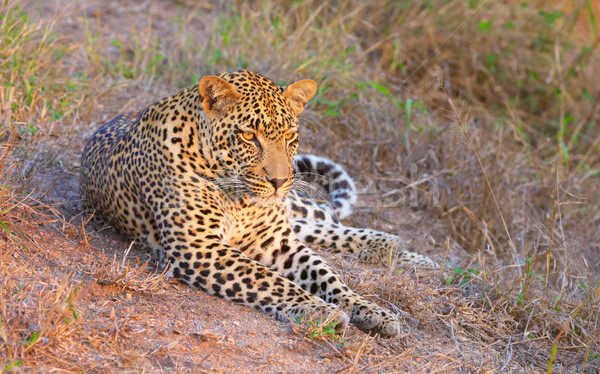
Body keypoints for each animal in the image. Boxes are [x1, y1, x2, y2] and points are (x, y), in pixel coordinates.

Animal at [79, 68, 436, 338]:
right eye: (249, 136)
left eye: (290, 137)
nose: (279, 182)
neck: (240, 200)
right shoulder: (198, 246)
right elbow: (270, 280)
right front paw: (321, 311)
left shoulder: (277, 242)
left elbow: (327, 275)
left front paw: (370, 309)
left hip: (296, 208)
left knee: (326, 219)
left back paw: (407, 254)